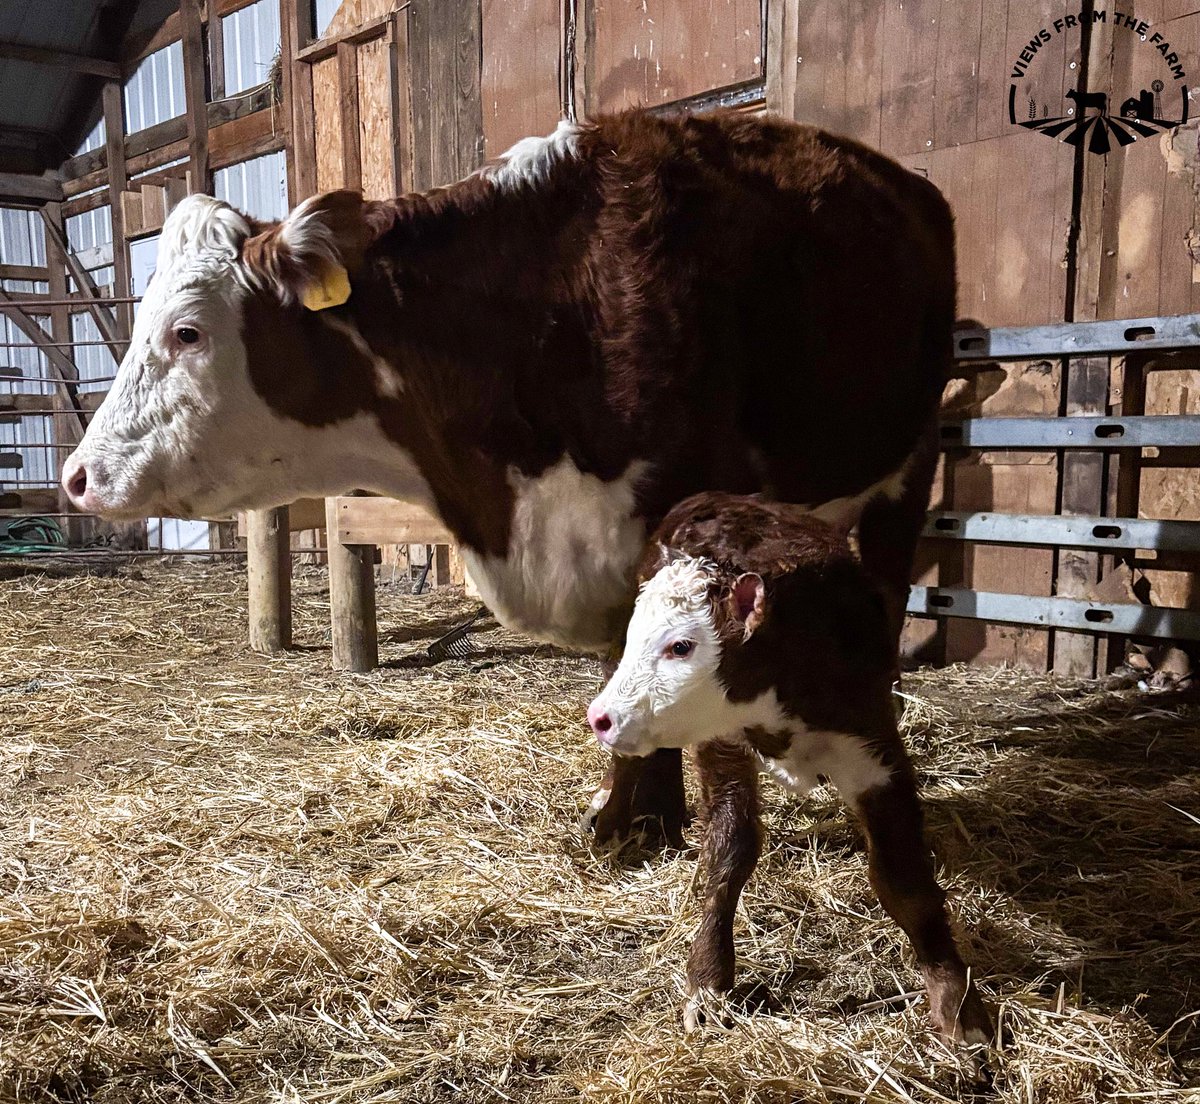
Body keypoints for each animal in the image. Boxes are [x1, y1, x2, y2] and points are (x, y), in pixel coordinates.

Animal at [60, 109, 954, 846]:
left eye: (187, 332)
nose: (78, 475)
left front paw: (642, 817)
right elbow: (621, 665)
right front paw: (640, 820)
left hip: (909, 465)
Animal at [587, 493, 993, 1044]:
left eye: (681, 646)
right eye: (637, 638)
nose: (600, 717)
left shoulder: (873, 744)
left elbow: (903, 879)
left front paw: (958, 1006)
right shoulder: (721, 743)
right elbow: (729, 851)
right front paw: (709, 984)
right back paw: (607, 819)